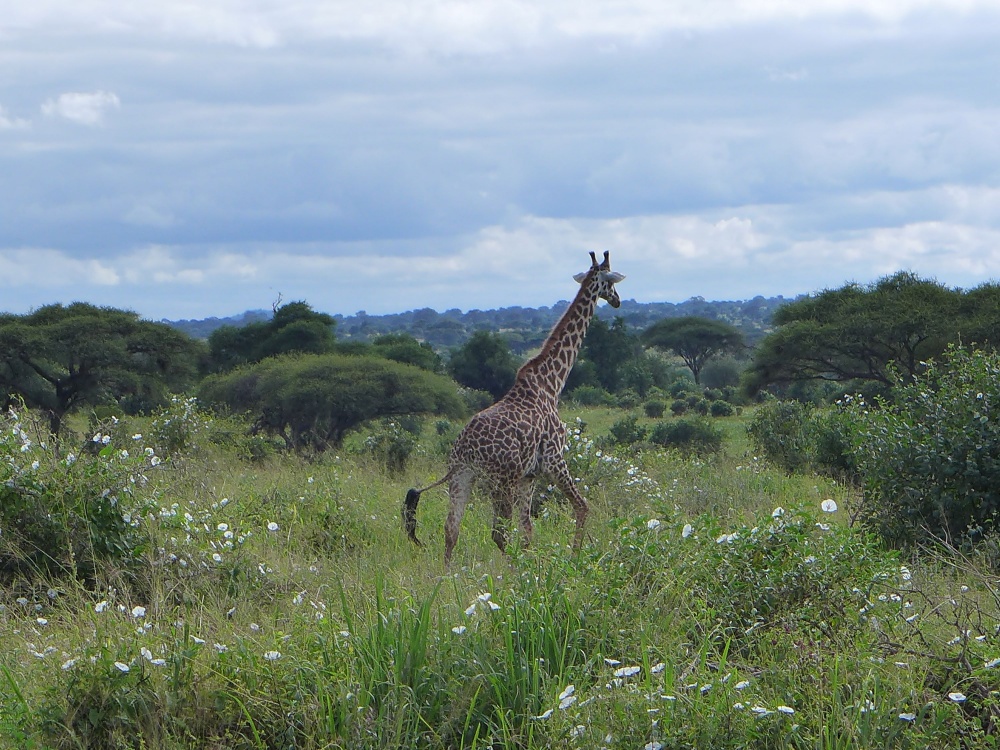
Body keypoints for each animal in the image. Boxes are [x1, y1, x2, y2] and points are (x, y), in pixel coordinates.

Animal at [400, 251, 624, 564]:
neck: (551, 383)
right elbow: (581, 505)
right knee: (498, 533)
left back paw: (447, 576)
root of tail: (464, 451)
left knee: (451, 528)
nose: (617, 300)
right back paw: (509, 571)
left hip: (463, 478)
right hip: (500, 480)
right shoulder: (554, 459)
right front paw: (573, 559)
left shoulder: (529, 475)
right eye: (611, 281)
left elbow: (527, 527)